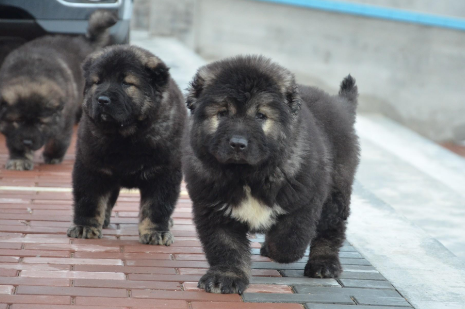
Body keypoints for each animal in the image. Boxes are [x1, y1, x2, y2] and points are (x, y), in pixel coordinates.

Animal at [0, 10, 115, 170]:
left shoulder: (65, 118)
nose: (28, 142)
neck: (32, 76)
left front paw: (53, 156)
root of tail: (85, 42)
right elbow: (15, 140)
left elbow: (59, 139)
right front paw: (19, 159)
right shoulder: (12, 131)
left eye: (41, 123)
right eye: (18, 120)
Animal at [67, 44, 187, 244]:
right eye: (98, 82)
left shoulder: (164, 172)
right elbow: (89, 199)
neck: (126, 137)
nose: (102, 100)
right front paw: (85, 226)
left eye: (126, 83)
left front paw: (156, 232)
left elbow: (157, 206)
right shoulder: (91, 167)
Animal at [183, 55, 360, 294]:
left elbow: (290, 237)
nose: (237, 144)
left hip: (336, 190)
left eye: (260, 116)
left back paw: (324, 264)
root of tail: (339, 105)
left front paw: (279, 250)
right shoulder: (213, 208)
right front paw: (226, 276)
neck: (246, 176)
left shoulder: (306, 198)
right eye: (222, 113)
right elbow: (225, 245)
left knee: (330, 229)